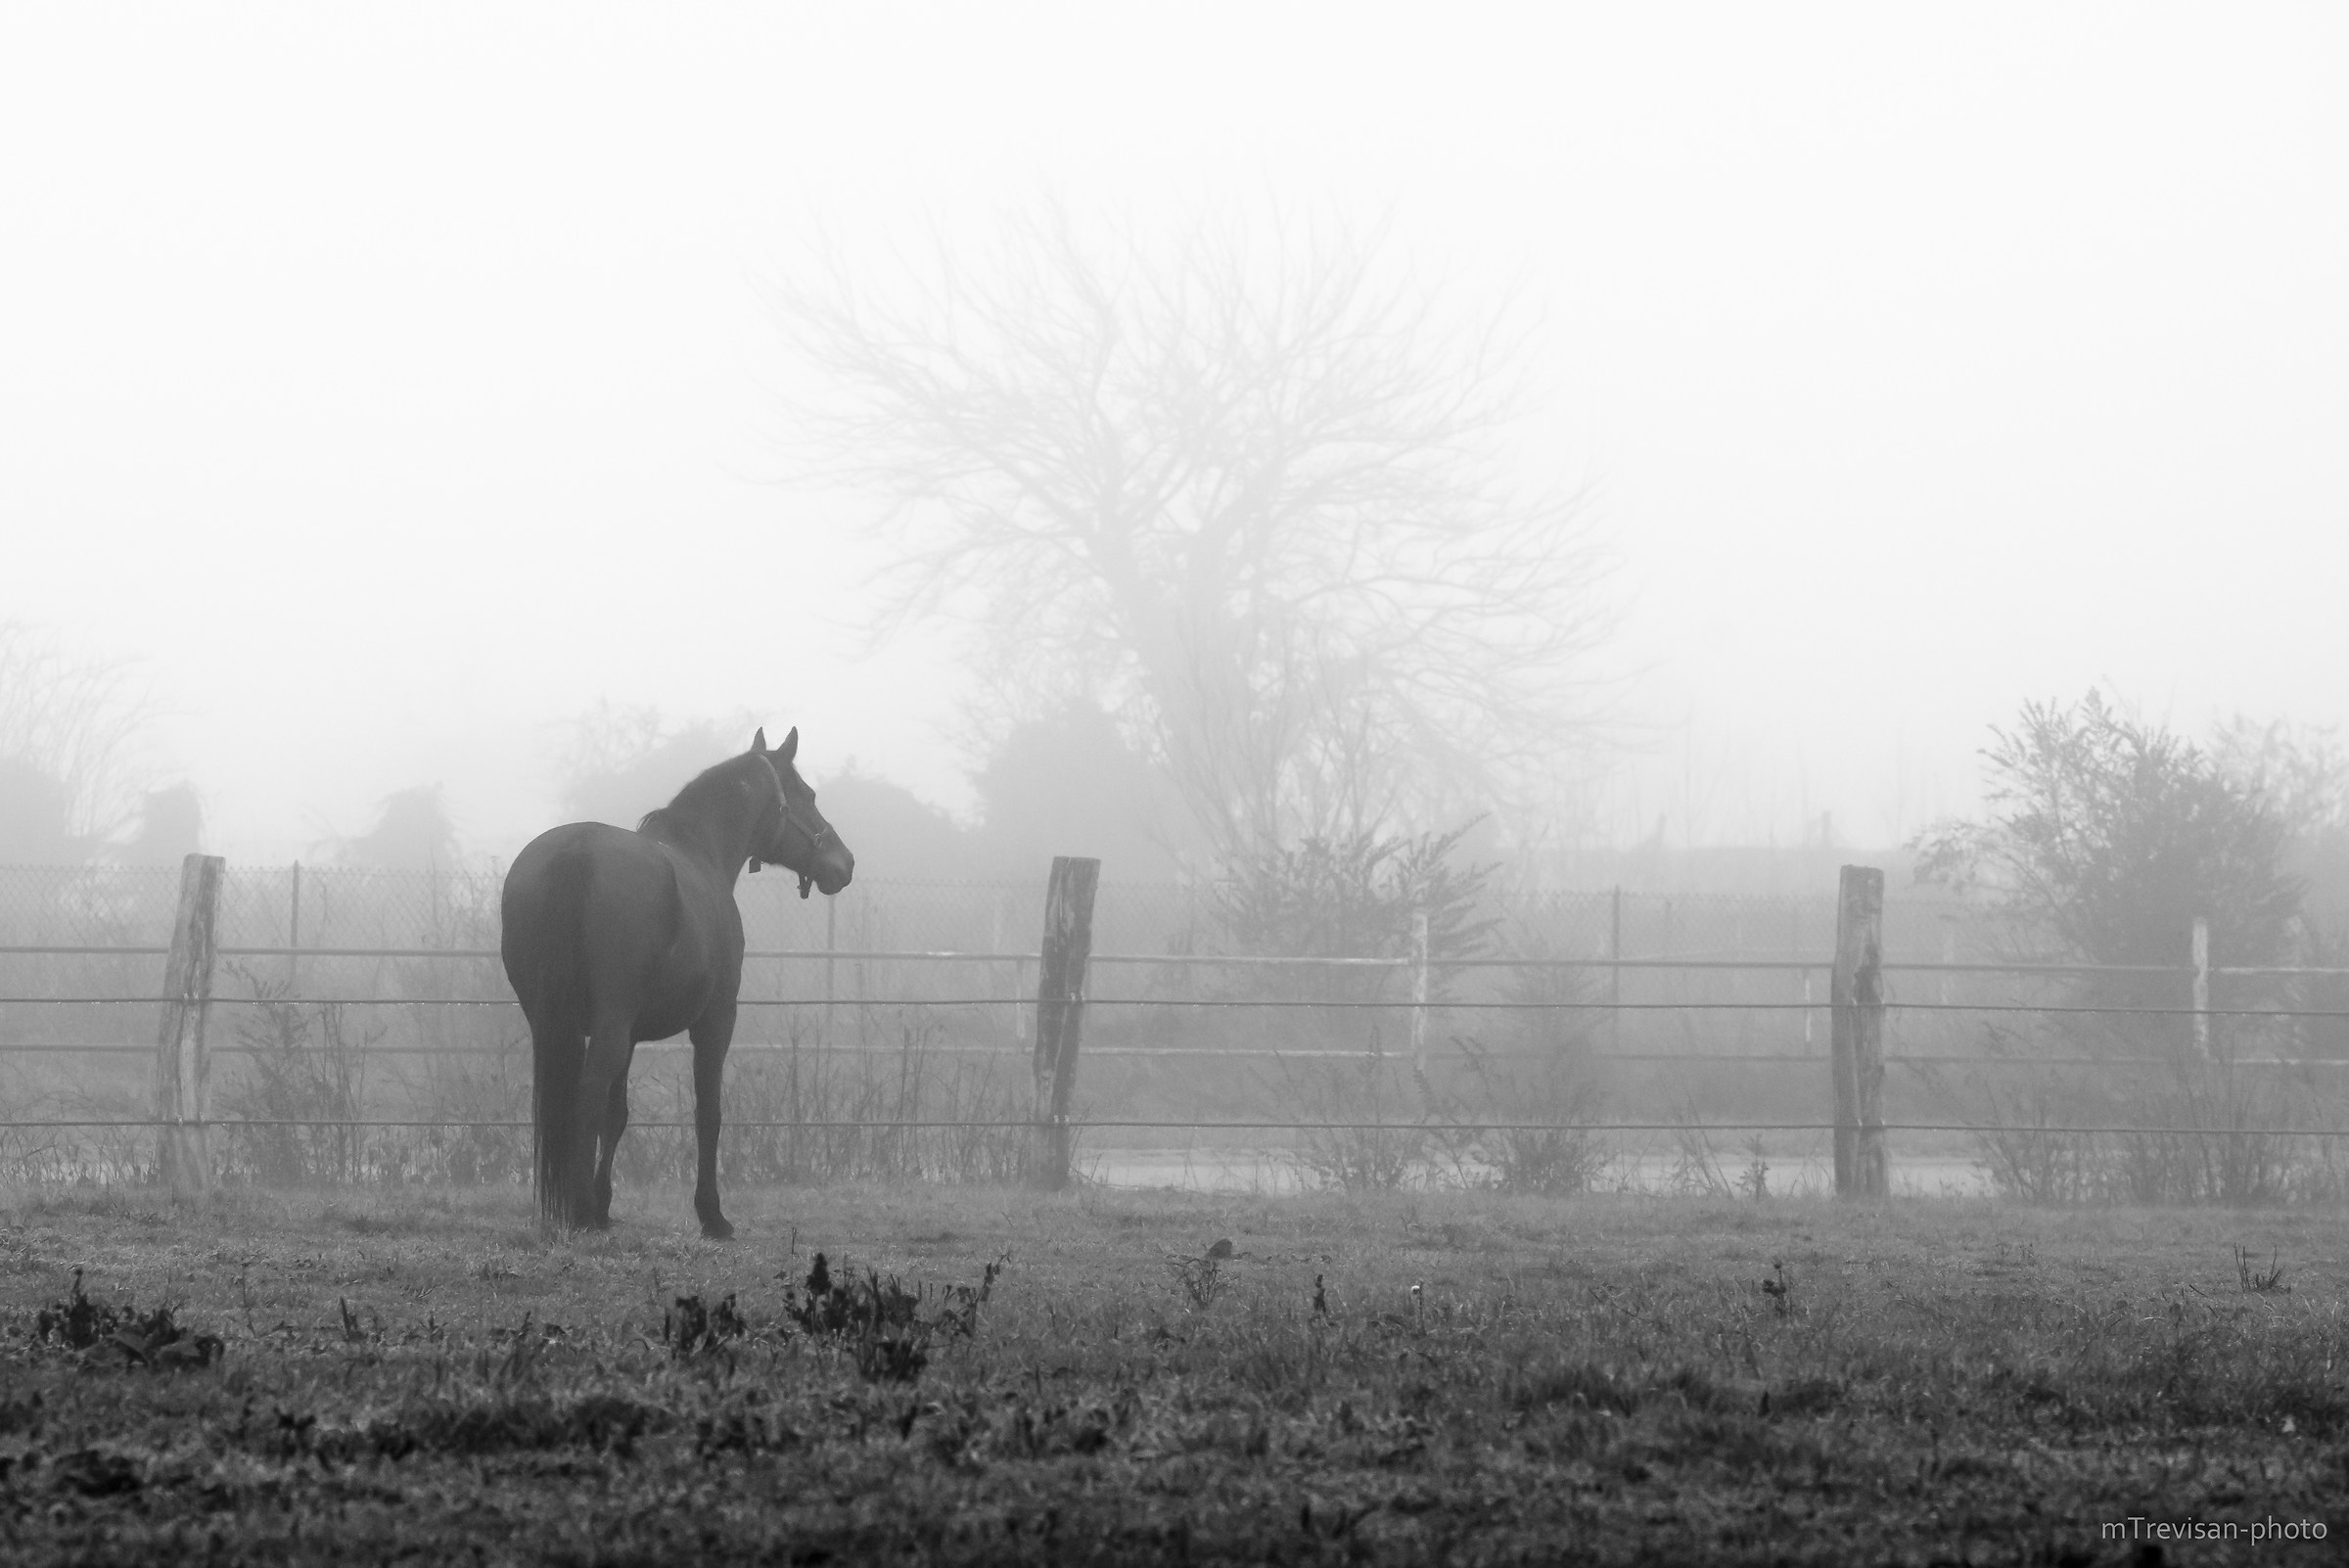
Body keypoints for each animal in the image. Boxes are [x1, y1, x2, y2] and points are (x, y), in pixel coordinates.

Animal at [500, 727, 854, 1236]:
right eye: (808, 795)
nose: (845, 864)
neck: (700, 853)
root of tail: (576, 852)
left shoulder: (630, 1036)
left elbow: (618, 1116)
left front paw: (607, 1205)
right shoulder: (716, 1020)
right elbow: (708, 1113)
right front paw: (712, 1214)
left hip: (549, 1022)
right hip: (607, 1026)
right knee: (586, 1097)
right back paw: (581, 1211)